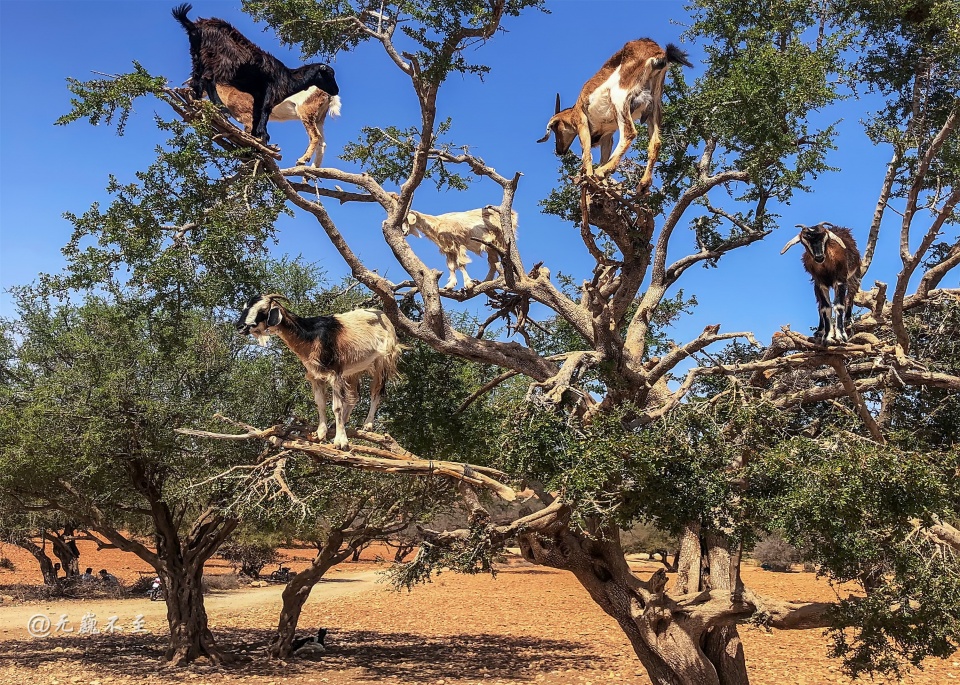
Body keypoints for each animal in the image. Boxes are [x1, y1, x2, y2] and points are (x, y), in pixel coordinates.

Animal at [171, 3, 340, 143]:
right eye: (329, 75)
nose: (336, 90)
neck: (288, 77)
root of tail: (194, 26)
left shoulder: (258, 95)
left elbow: (257, 113)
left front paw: (255, 133)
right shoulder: (270, 92)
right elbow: (265, 111)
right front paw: (263, 135)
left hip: (197, 56)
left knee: (197, 79)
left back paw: (196, 100)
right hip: (222, 61)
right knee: (208, 79)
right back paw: (220, 108)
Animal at [236, 292, 402, 448]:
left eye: (263, 309)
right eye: (245, 307)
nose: (240, 327)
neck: (311, 334)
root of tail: (385, 317)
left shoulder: (335, 373)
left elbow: (337, 407)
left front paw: (341, 442)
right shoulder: (316, 376)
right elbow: (320, 403)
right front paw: (321, 433)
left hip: (383, 360)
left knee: (377, 392)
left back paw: (367, 425)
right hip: (353, 370)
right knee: (354, 396)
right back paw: (339, 424)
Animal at [532, 37, 688, 192]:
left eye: (555, 128)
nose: (559, 151)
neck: (576, 107)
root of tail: (659, 55)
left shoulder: (582, 122)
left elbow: (586, 153)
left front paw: (588, 178)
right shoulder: (607, 135)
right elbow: (603, 155)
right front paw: (603, 184)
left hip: (620, 99)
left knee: (629, 133)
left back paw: (602, 171)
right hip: (654, 107)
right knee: (656, 142)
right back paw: (643, 184)